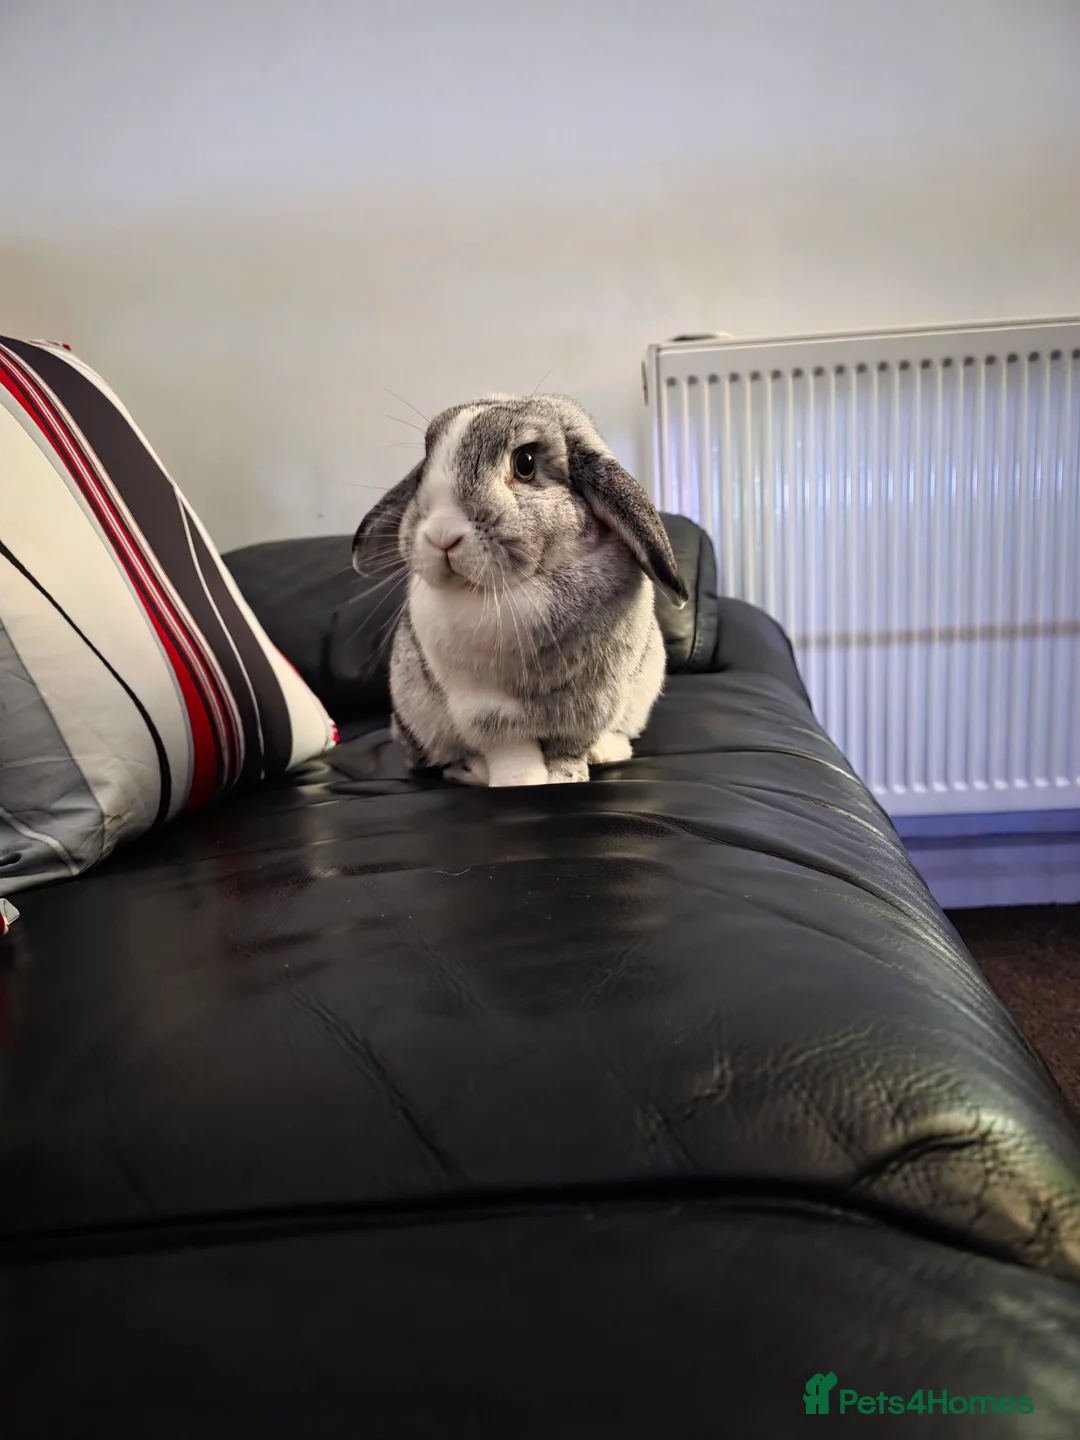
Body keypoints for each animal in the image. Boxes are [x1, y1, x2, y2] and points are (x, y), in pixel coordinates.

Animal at [351, 393, 688, 787]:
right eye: (425, 465)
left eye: (525, 462)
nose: (441, 534)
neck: (508, 593)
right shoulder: (487, 713)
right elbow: (511, 752)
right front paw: (519, 782)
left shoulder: (587, 708)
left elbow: (567, 752)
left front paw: (565, 779)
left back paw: (607, 751)